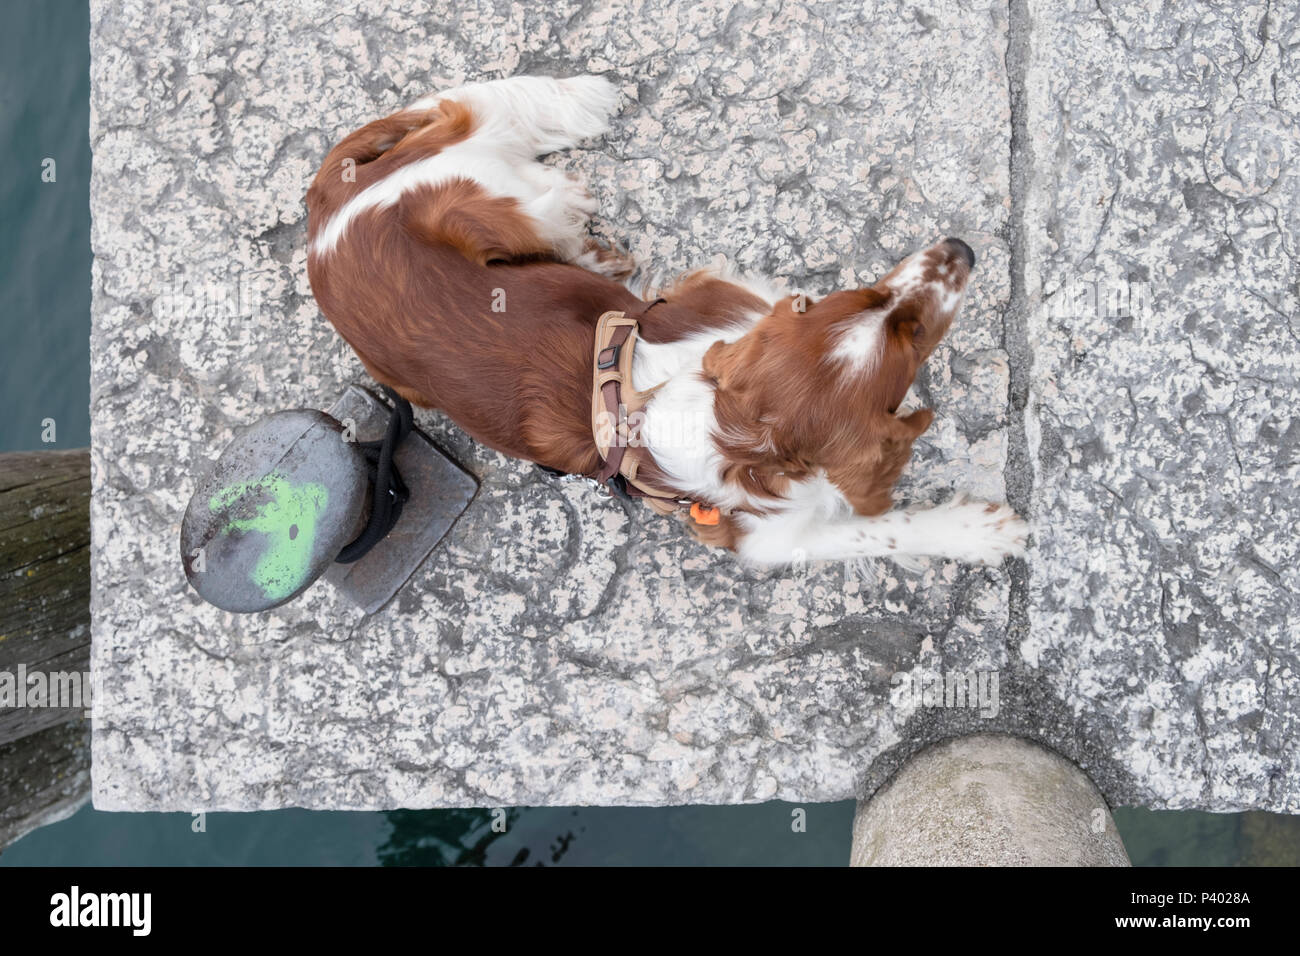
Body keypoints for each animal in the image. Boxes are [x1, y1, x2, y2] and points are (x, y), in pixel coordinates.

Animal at [304, 78, 1024, 567]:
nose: (959, 249)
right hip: (495, 199)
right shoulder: (763, 537)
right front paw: (982, 532)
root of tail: (331, 208)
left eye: (868, 293)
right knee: (501, 140)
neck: (738, 433)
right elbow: (876, 530)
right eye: (909, 334)